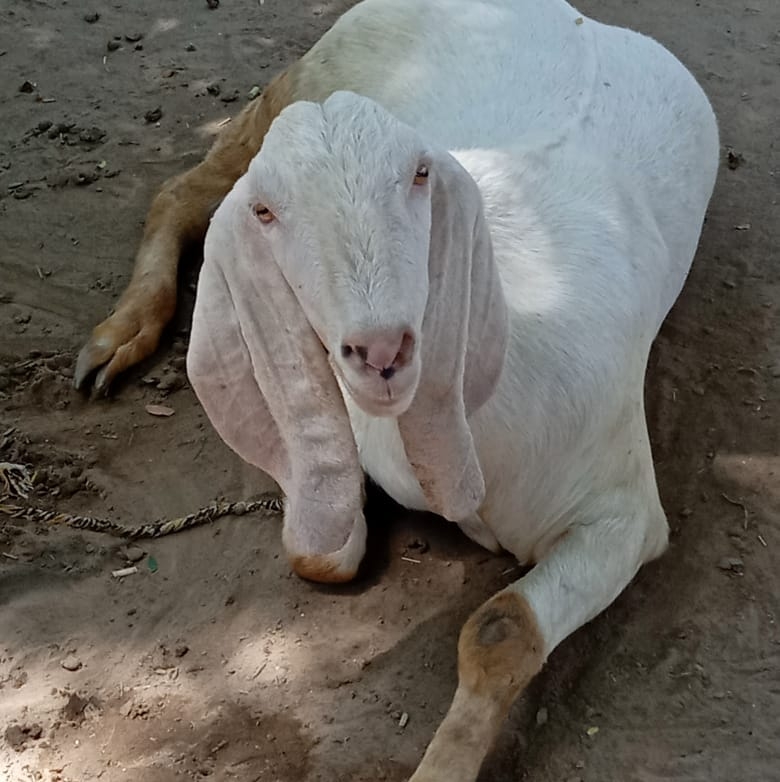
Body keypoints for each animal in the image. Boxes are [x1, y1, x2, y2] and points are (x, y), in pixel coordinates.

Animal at [77, 1, 720, 779]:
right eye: (265, 212)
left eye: (420, 175)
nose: (378, 349)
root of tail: (575, 16)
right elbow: (316, 552)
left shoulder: (622, 514)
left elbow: (499, 628)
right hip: (302, 77)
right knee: (181, 189)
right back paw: (118, 337)